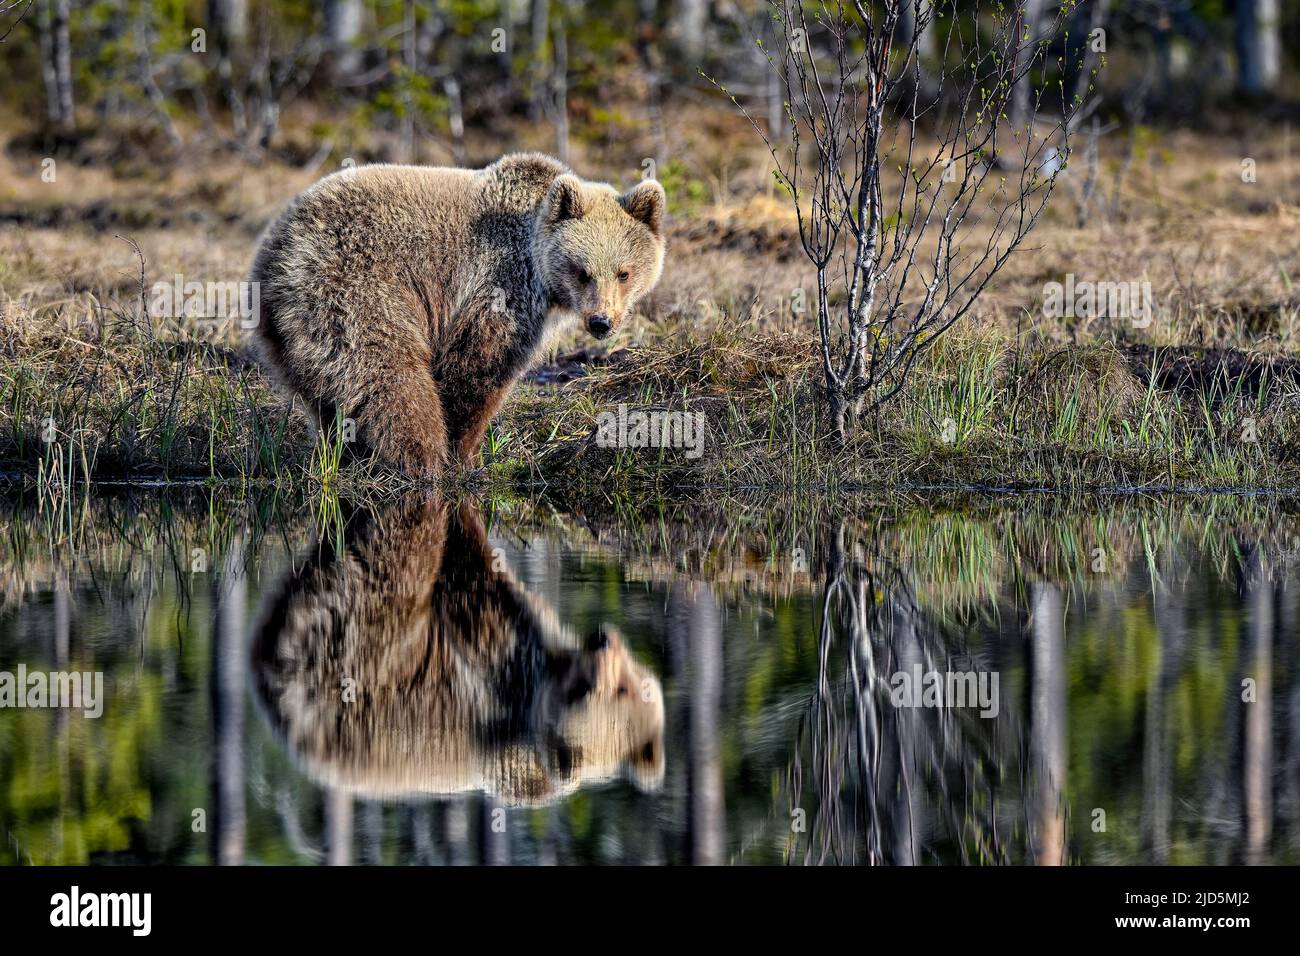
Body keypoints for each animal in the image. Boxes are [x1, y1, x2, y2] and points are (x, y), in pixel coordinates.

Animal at [246, 150, 665, 476]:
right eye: (582, 271)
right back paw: (420, 460)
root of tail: (278, 251)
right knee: (389, 373)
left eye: (624, 272)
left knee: (325, 396)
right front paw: (465, 455)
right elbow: (476, 368)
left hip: (283, 330)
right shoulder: (499, 284)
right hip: (353, 286)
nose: (601, 322)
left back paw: (346, 455)